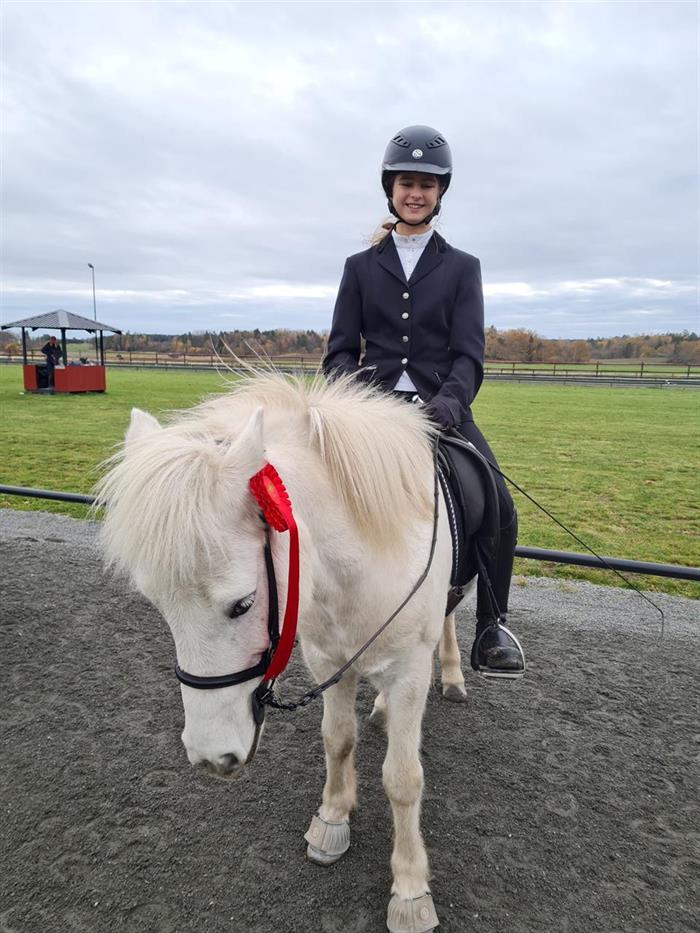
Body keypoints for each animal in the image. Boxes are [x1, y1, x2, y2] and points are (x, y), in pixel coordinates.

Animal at [97, 372, 470, 932]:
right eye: (158, 606)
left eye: (244, 603)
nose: (212, 758)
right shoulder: (329, 660)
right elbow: (337, 739)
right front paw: (333, 818)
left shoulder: (408, 673)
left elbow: (403, 779)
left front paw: (409, 888)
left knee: (449, 615)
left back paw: (451, 676)